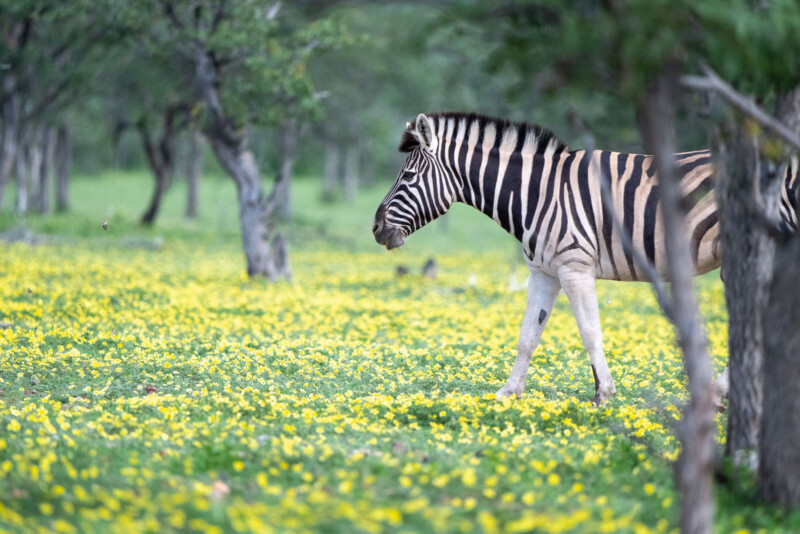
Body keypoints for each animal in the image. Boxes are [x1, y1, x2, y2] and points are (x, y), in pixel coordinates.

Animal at [372, 113, 796, 406]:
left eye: (408, 177)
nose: (375, 228)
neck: (537, 193)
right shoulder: (543, 272)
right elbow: (528, 336)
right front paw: (508, 393)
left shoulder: (574, 266)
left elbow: (590, 332)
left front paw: (603, 393)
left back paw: (721, 393)